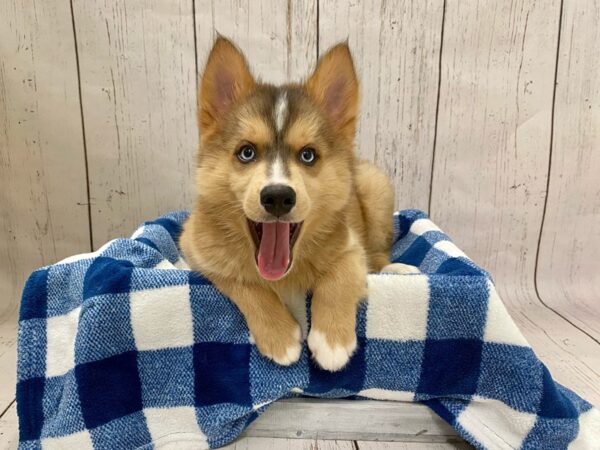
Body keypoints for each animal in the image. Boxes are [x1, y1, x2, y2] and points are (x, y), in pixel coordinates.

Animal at [182, 37, 418, 370]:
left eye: (308, 155)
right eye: (246, 152)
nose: (278, 197)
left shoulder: (350, 246)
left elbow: (342, 275)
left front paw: (333, 341)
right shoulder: (196, 249)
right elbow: (244, 282)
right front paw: (280, 337)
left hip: (376, 187)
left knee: (378, 256)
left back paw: (399, 268)